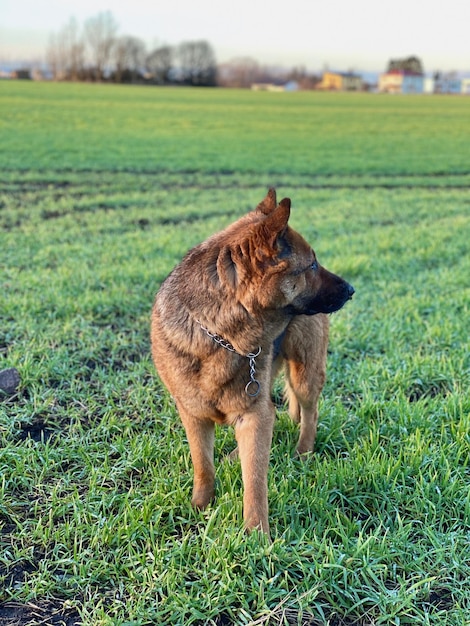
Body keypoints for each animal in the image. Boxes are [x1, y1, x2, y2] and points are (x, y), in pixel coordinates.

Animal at [151, 188, 352, 532]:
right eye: (312, 265)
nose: (352, 289)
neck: (220, 333)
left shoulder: (256, 416)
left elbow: (255, 482)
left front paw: (256, 534)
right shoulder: (193, 414)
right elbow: (203, 465)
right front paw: (200, 506)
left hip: (305, 374)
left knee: (309, 413)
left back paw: (303, 453)